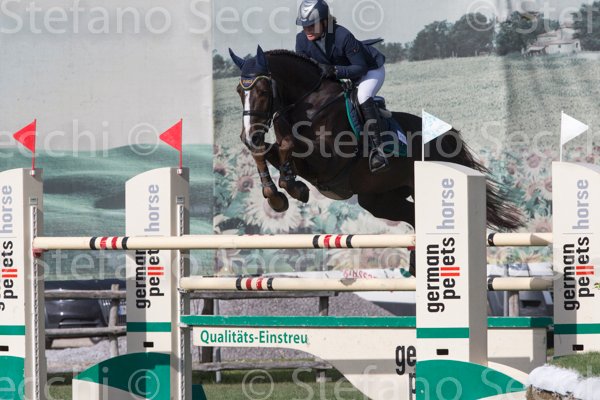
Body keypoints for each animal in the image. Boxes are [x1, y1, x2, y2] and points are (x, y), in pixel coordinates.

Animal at [228, 46, 522, 231]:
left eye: (263, 90)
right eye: (239, 91)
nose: (248, 135)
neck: (307, 103)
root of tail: (445, 137)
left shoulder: (329, 161)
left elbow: (287, 148)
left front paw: (292, 187)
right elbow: (267, 151)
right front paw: (276, 195)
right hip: (378, 199)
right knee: (412, 217)